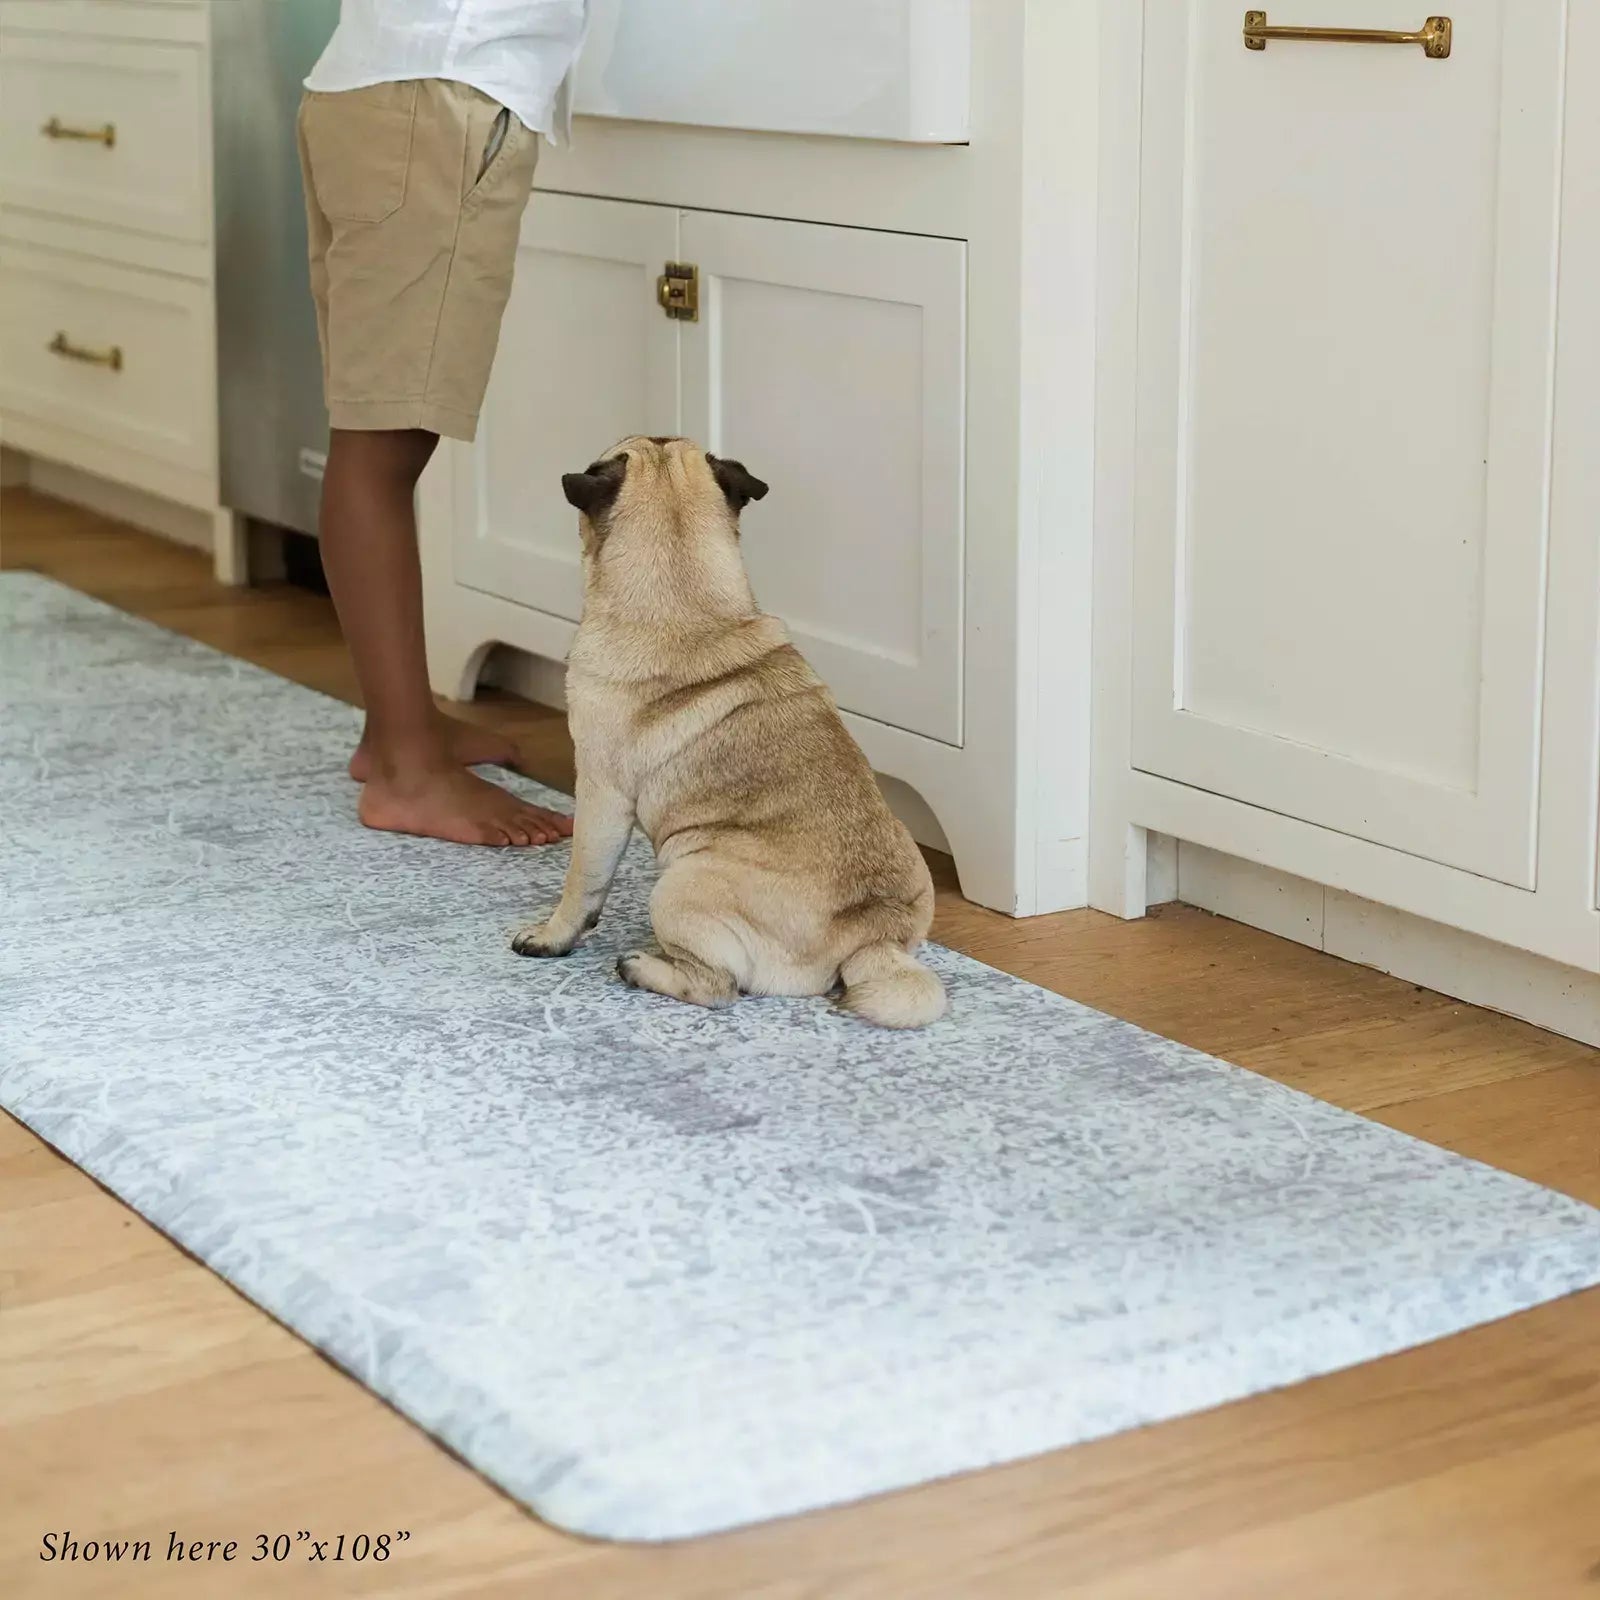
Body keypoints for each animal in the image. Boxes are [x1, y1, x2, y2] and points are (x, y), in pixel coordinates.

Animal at [512, 432, 940, 1030]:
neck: (688, 608)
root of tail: (871, 936)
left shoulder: (599, 792)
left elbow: (582, 881)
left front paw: (551, 937)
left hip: (678, 884)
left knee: (718, 987)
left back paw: (641, 967)